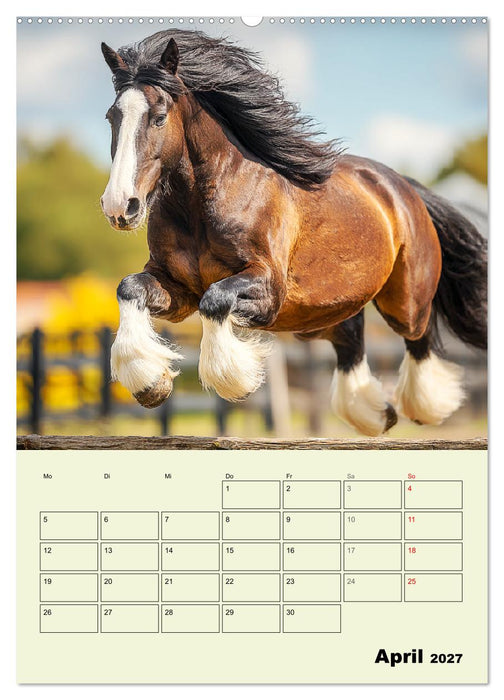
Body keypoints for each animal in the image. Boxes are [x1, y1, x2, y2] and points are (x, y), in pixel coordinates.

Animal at [99, 30, 487, 437]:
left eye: (159, 118)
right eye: (112, 117)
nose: (119, 206)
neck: (204, 204)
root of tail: (405, 188)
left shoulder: (268, 288)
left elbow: (215, 299)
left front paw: (233, 380)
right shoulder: (178, 290)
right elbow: (129, 288)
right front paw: (150, 384)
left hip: (404, 302)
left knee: (420, 335)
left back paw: (424, 405)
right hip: (320, 315)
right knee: (352, 339)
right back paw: (376, 413)